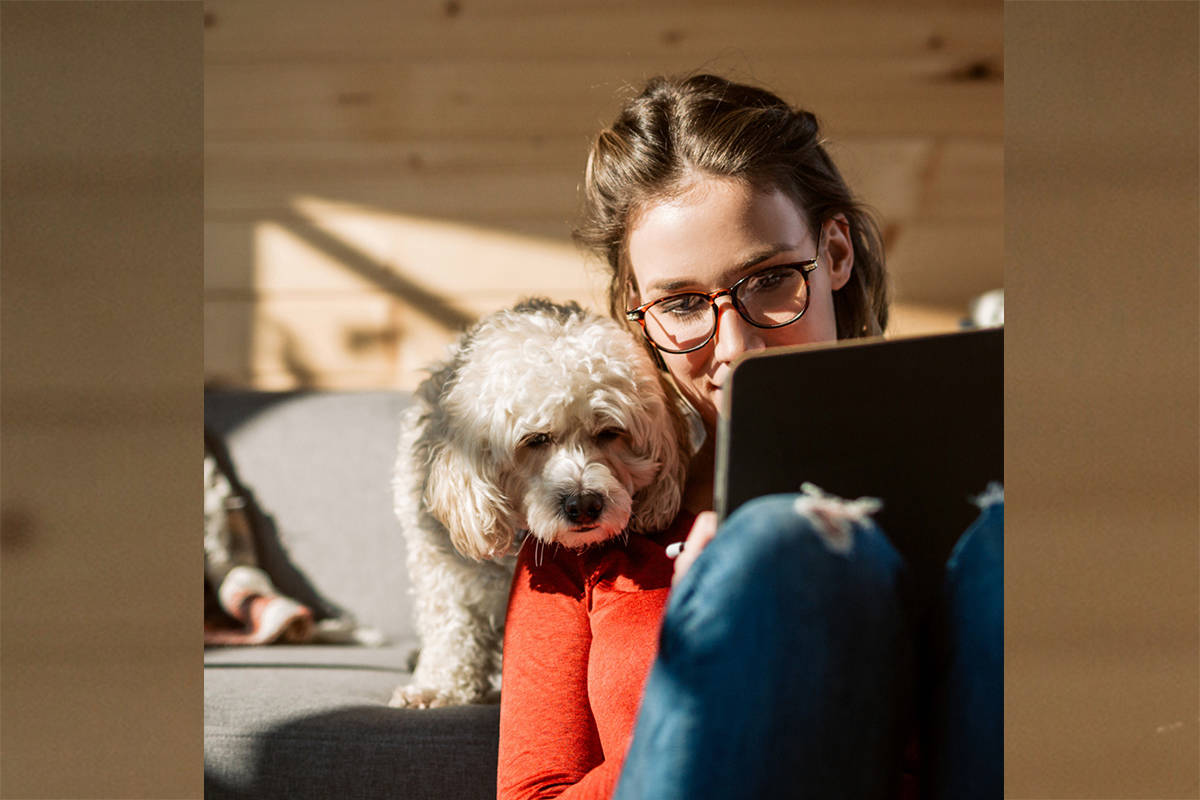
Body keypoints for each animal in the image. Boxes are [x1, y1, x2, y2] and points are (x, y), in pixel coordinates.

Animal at [384, 299, 686, 705]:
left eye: (609, 432)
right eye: (536, 439)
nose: (584, 504)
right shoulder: (443, 567)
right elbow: (452, 625)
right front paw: (439, 686)